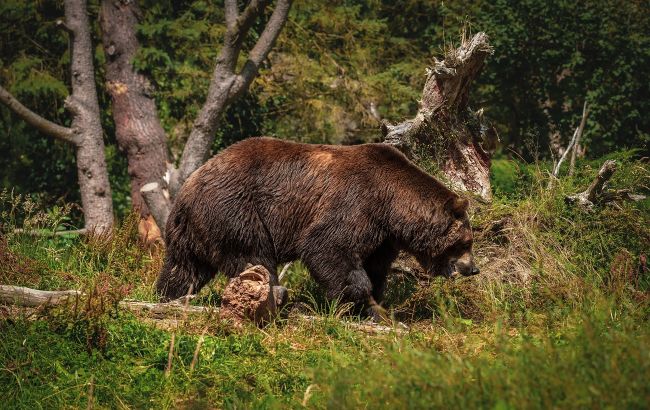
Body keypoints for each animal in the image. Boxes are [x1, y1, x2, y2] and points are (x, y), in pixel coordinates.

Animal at [156, 136, 476, 318]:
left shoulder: (382, 236)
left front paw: (373, 306)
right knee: (254, 258)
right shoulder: (356, 201)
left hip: (193, 230)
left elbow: (374, 265)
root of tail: (187, 187)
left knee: (183, 268)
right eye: (465, 243)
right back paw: (278, 297)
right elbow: (327, 247)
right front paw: (355, 301)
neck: (392, 204)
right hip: (235, 210)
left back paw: (167, 296)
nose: (472, 268)